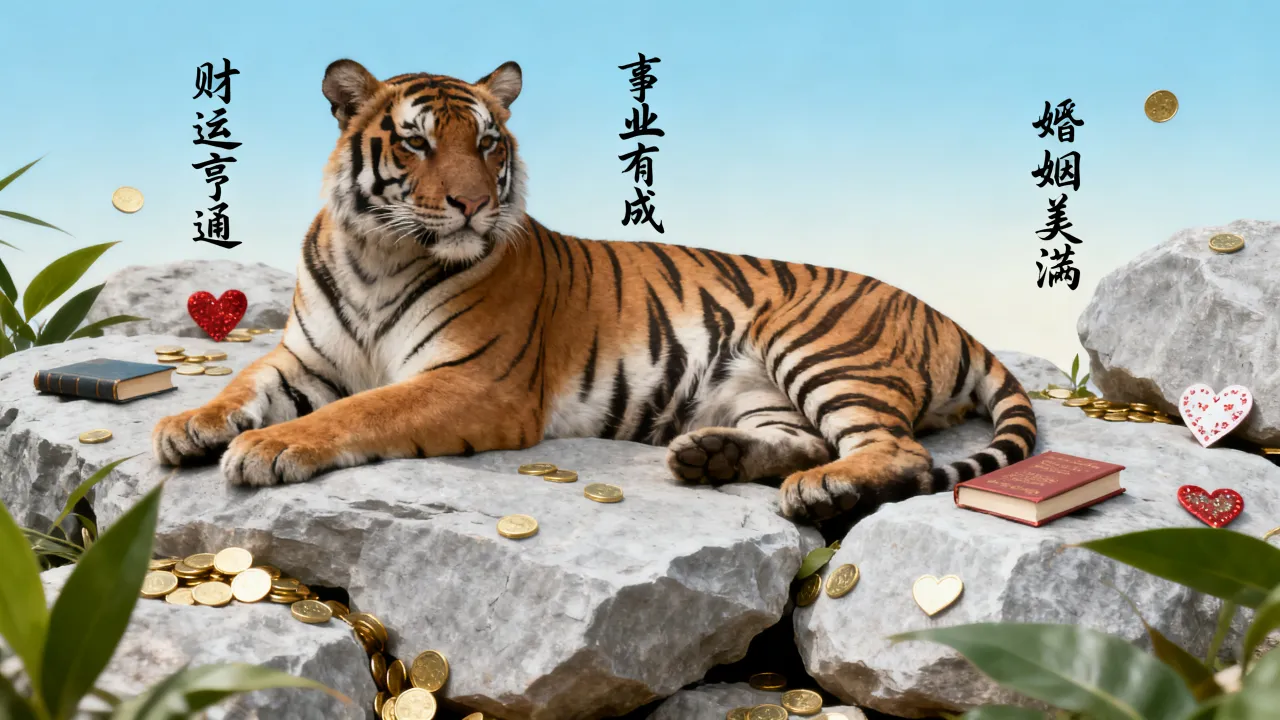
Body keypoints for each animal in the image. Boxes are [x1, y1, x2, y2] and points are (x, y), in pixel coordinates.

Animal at [151, 58, 1038, 523]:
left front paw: (268, 447)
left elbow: (361, 411)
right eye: (416, 143)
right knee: (813, 438)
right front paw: (187, 426)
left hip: (820, 347)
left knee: (893, 449)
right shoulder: (305, 358)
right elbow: (242, 383)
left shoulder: (475, 380)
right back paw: (713, 457)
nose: (471, 203)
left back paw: (819, 489)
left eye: (488, 143)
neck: (380, 255)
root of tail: (947, 316)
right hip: (757, 389)